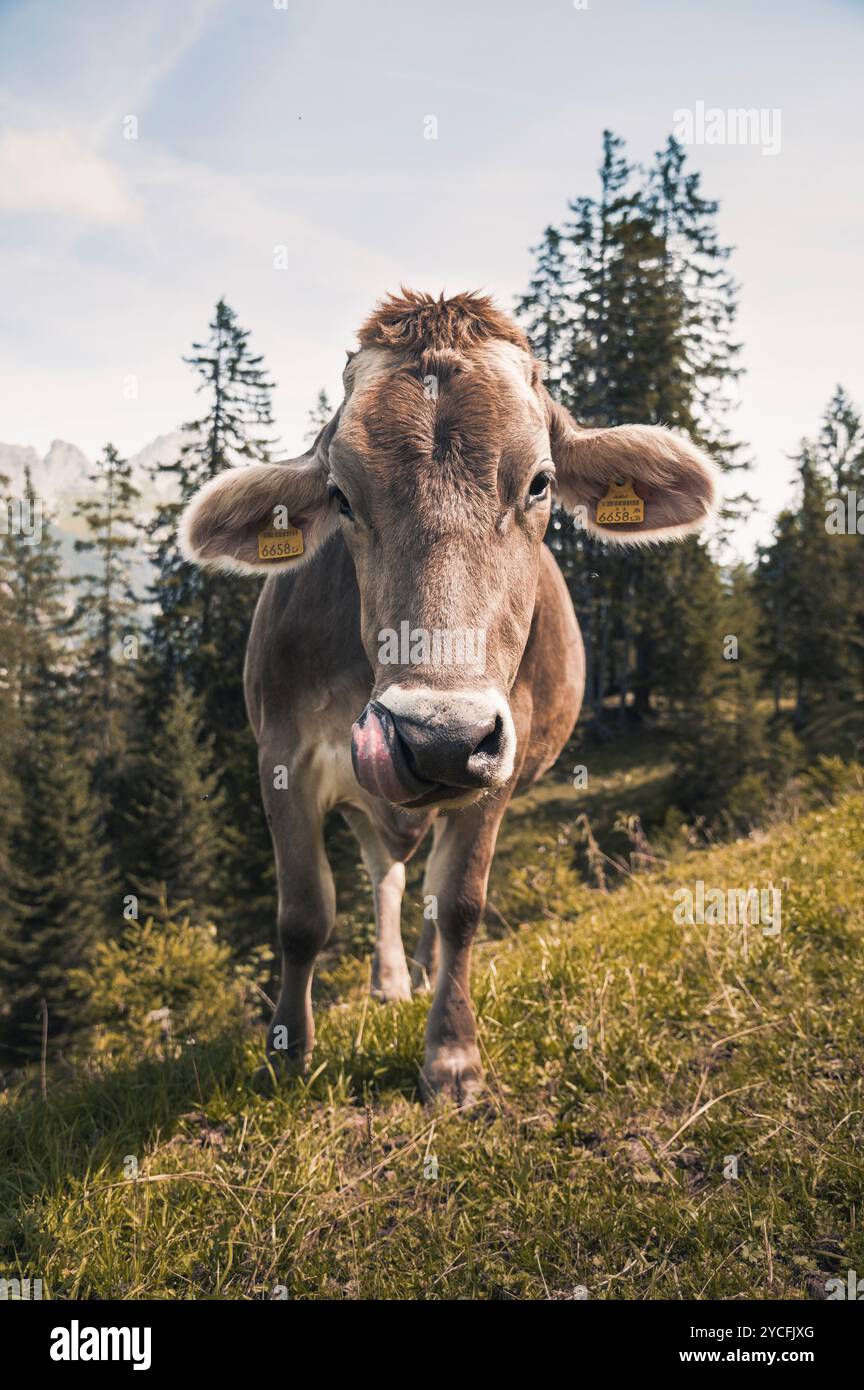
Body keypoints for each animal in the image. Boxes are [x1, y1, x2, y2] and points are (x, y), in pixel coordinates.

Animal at [179, 290, 722, 1106]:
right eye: (340, 495)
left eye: (539, 483)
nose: (435, 737)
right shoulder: (282, 754)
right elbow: (304, 915)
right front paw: (287, 1050)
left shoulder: (499, 757)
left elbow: (462, 905)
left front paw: (452, 1058)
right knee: (387, 873)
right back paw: (391, 982)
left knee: (432, 892)